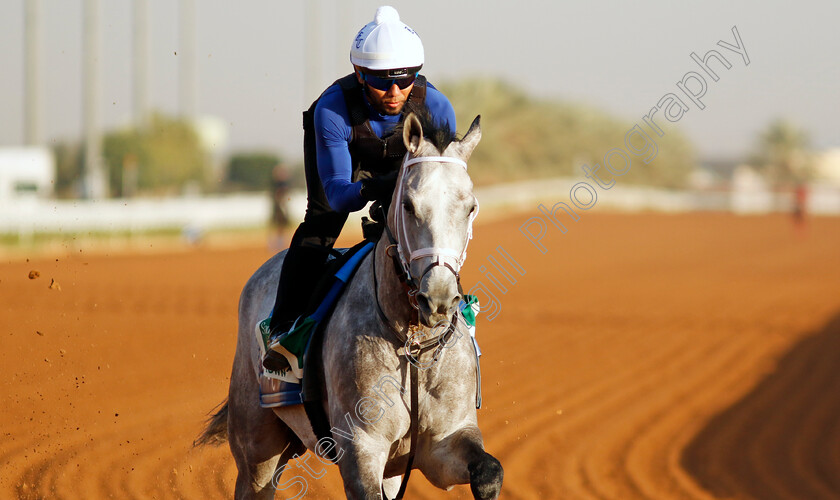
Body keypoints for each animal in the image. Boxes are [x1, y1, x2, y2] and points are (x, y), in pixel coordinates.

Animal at [198, 111, 502, 498]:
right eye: (408, 205)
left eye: (471, 207)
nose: (438, 298)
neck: (413, 346)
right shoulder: (360, 446)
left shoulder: (445, 442)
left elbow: (488, 470)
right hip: (256, 444)